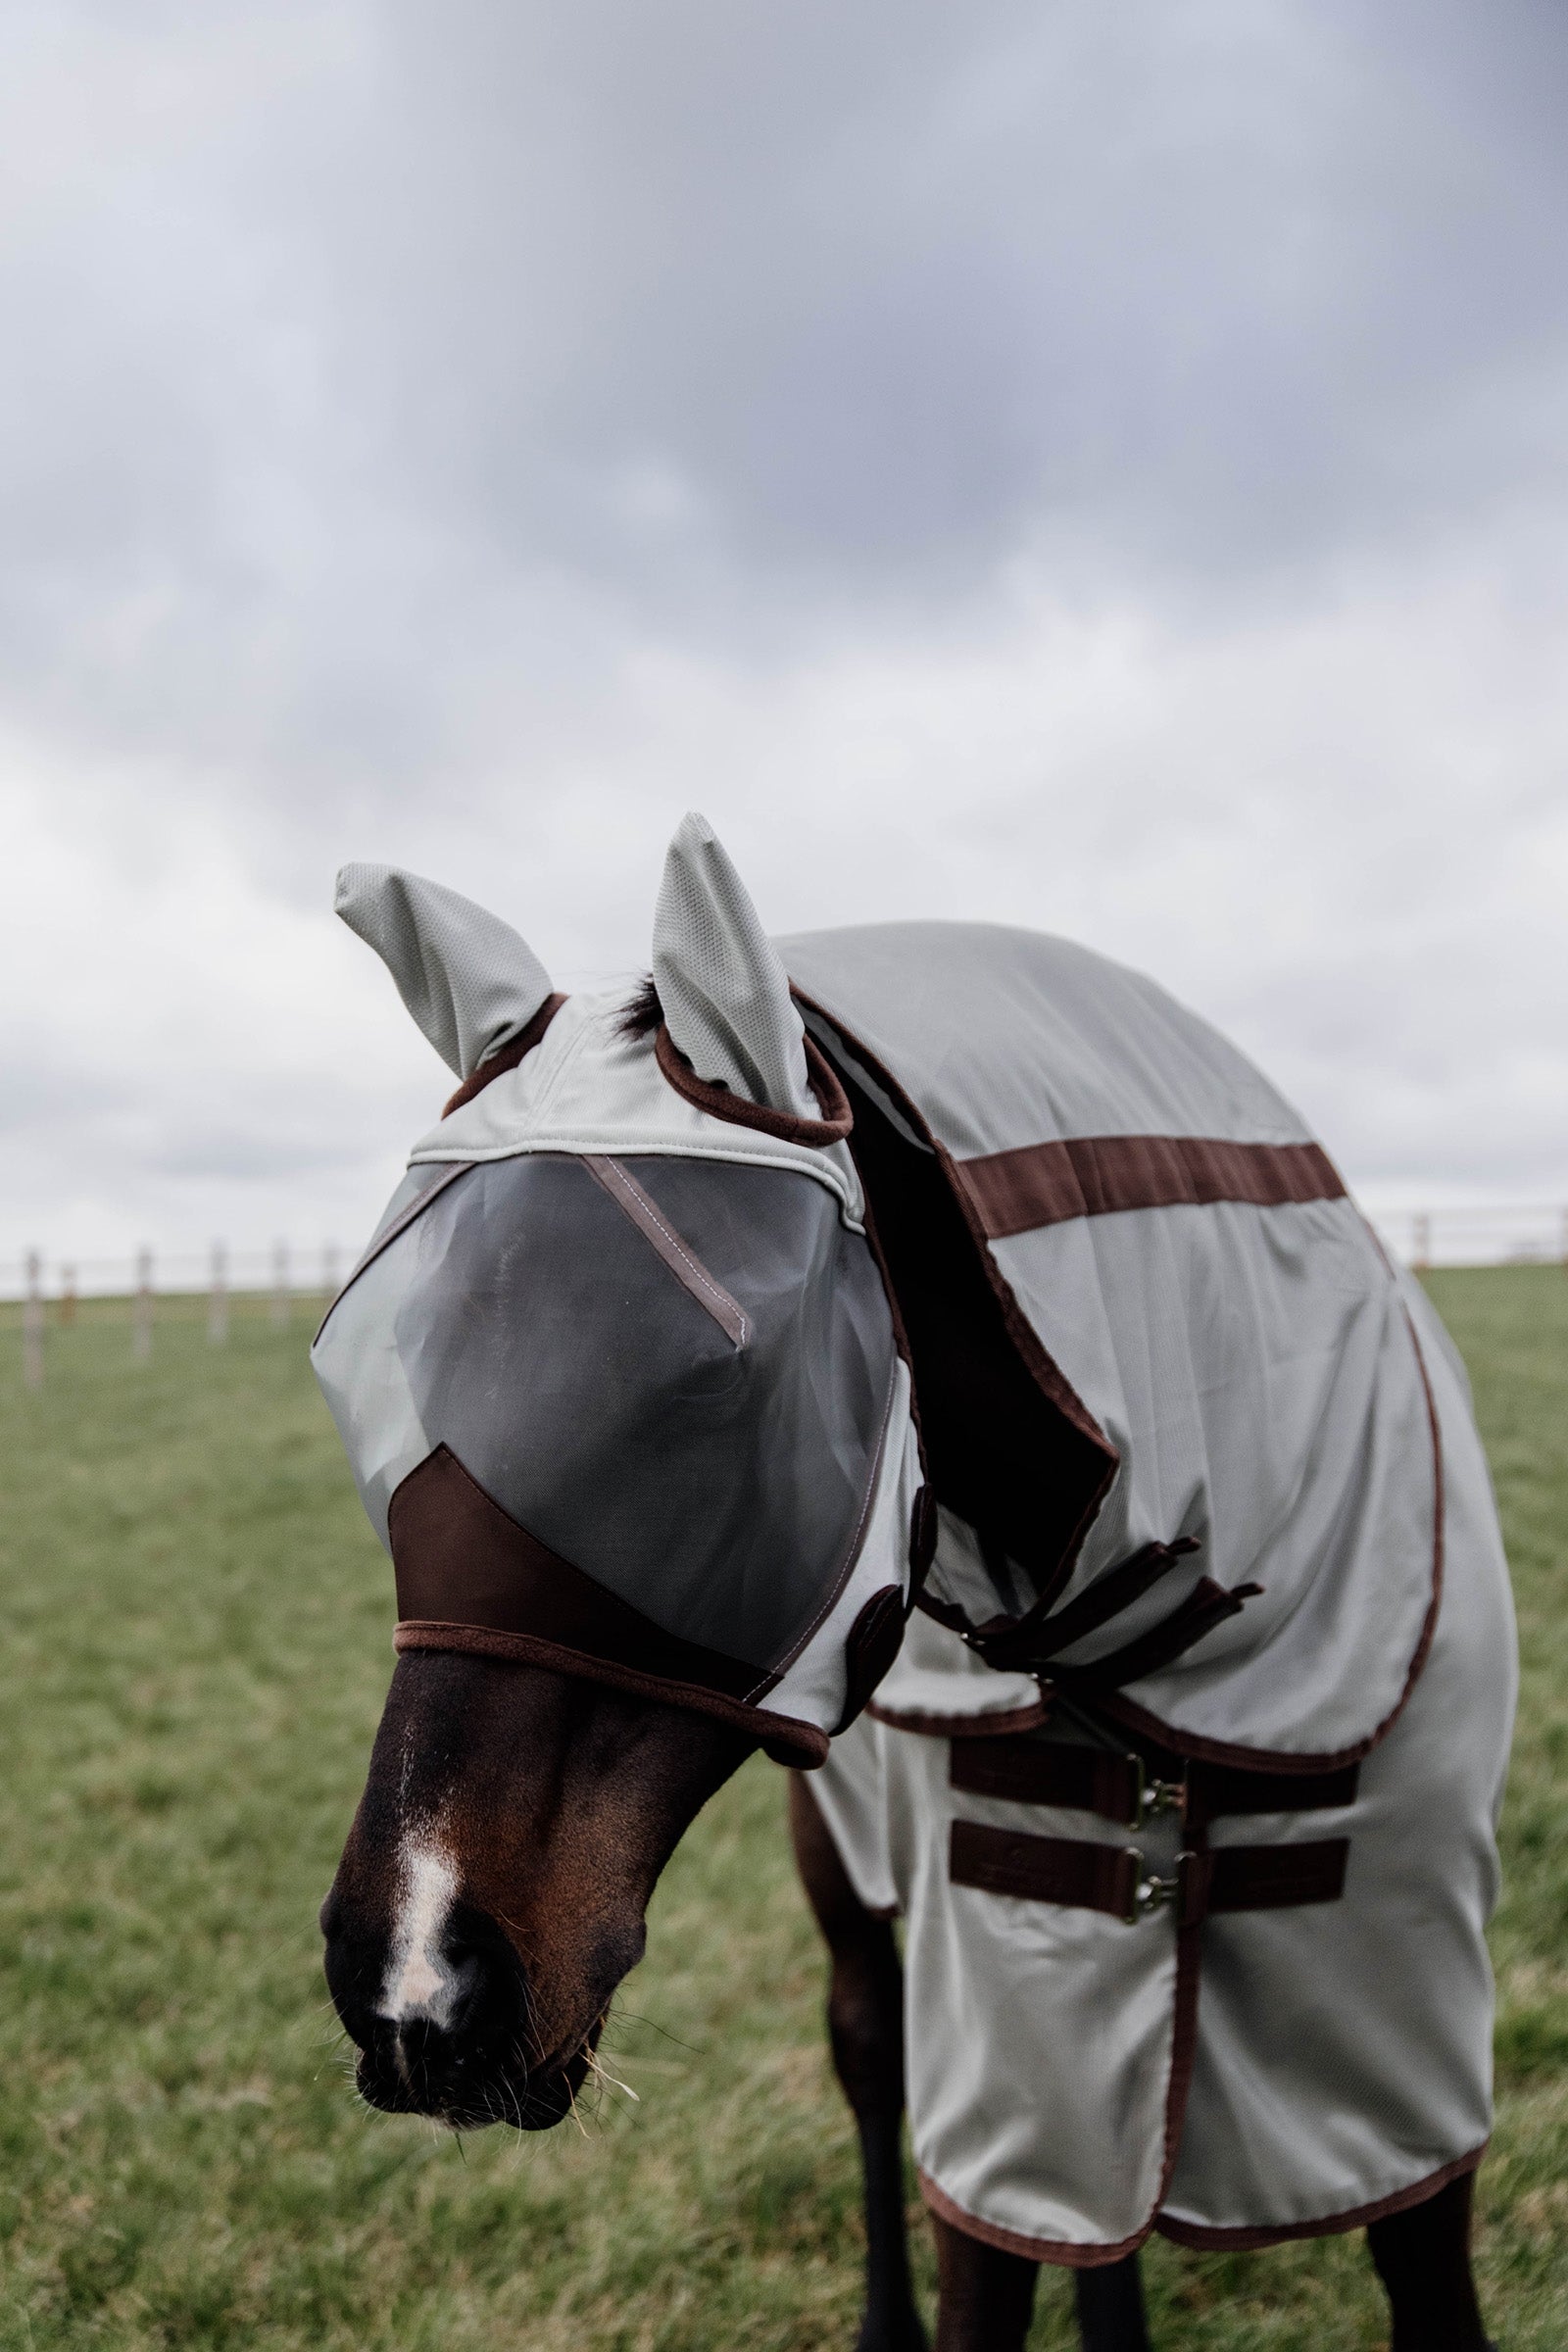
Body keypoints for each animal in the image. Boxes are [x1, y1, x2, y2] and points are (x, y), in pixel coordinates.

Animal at [314, 814, 1512, 2352]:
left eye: (721, 1384)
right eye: (377, 1375)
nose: (413, 1983)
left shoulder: (1399, 2046)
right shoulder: (1009, 2046)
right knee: (872, 2064)